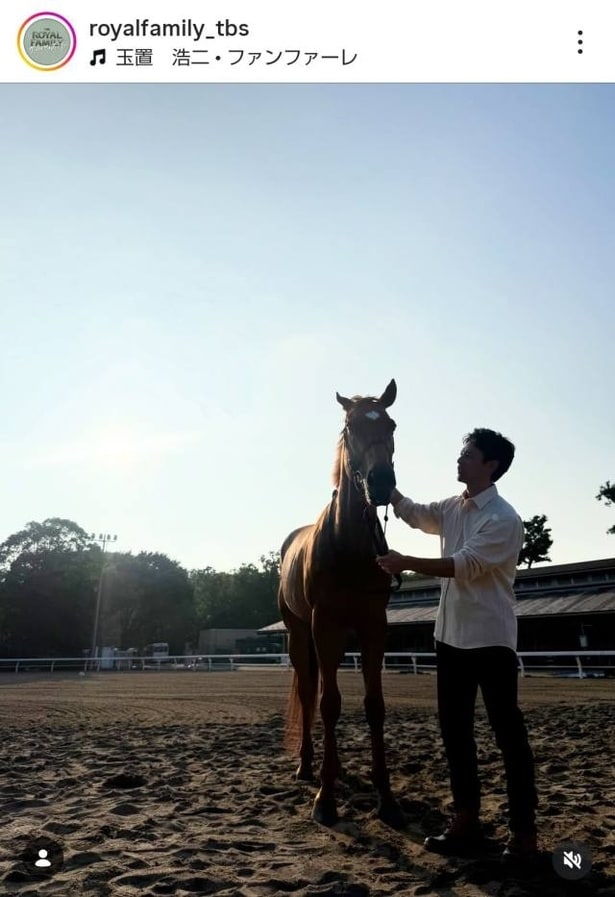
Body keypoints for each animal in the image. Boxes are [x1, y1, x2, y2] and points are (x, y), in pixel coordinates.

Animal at [278, 379, 405, 828]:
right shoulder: (325, 626)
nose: (381, 482)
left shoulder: (372, 626)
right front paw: (325, 798)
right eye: (350, 428)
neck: (348, 545)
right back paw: (307, 766)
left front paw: (387, 798)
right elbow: (328, 704)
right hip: (300, 635)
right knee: (308, 693)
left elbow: (374, 706)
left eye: (391, 425)